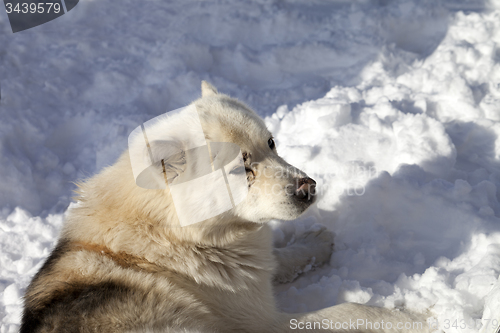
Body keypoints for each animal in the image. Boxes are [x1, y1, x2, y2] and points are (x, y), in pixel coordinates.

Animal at [18, 81, 426, 332]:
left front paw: (315, 242)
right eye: (239, 168)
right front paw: (419, 317)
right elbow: (351, 311)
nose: (309, 188)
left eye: (271, 144)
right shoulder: (265, 323)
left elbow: (281, 259)